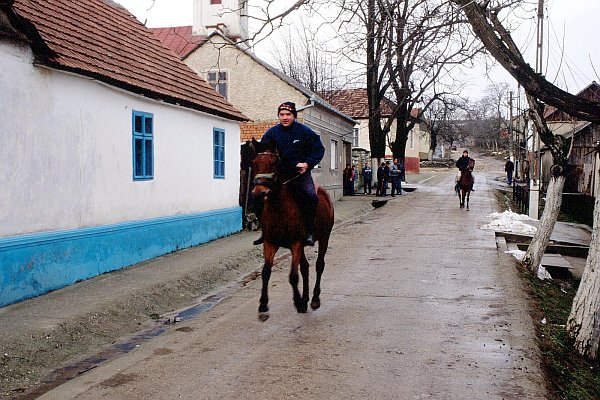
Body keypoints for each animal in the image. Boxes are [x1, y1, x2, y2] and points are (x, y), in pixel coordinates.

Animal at [248, 139, 332, 320]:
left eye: (274, 163)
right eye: (254, 163)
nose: (259, 193)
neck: (279, 208)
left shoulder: (296, 244)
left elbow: (293, 276)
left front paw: (298, 302)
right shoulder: (270, 243)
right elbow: (266, 272)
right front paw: (263, 306)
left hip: (324, 237)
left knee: (319, 265)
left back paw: (314, 299)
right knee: (305, 268)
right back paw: (306, 298)